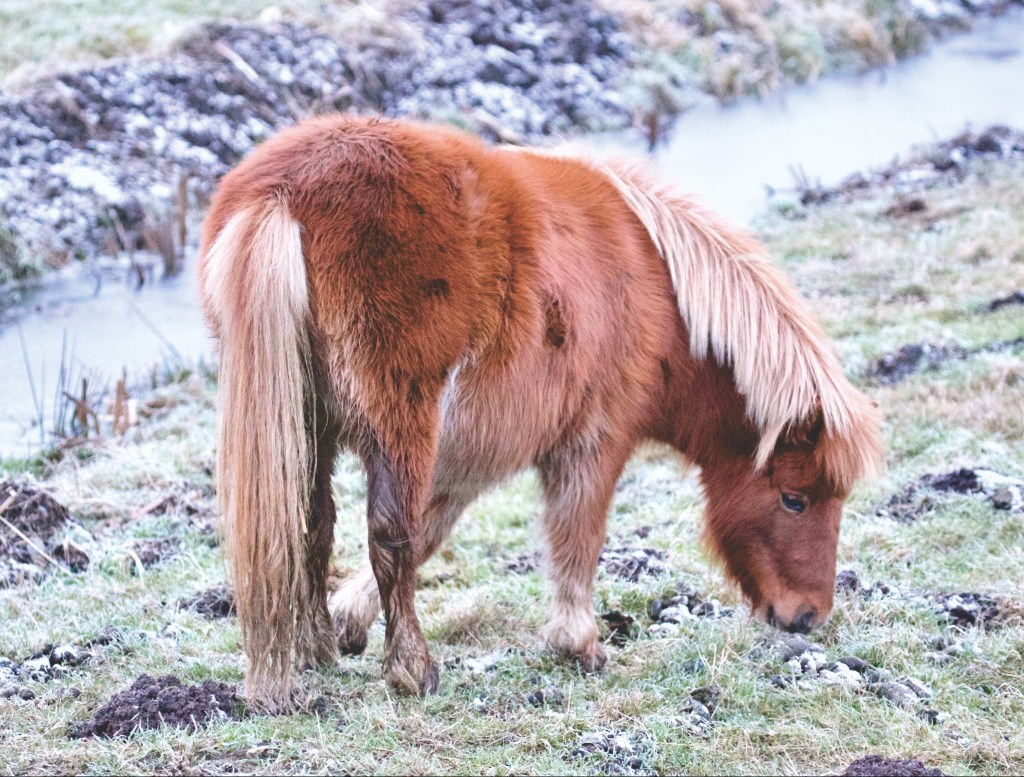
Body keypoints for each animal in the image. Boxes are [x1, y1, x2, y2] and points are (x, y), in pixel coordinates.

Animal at [198, 115, 883, 712]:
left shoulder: (469, 451)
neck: (660, 293)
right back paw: (412, 671)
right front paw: (579, 644)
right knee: (387, 534)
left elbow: (434, 527)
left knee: (310, 527)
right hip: (399, 421)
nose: (807, 616)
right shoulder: (592, 441)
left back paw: (314, 650)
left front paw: (347, 621)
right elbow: (575, 534)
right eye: (795, 499)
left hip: (308, 426)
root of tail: (284, 194)